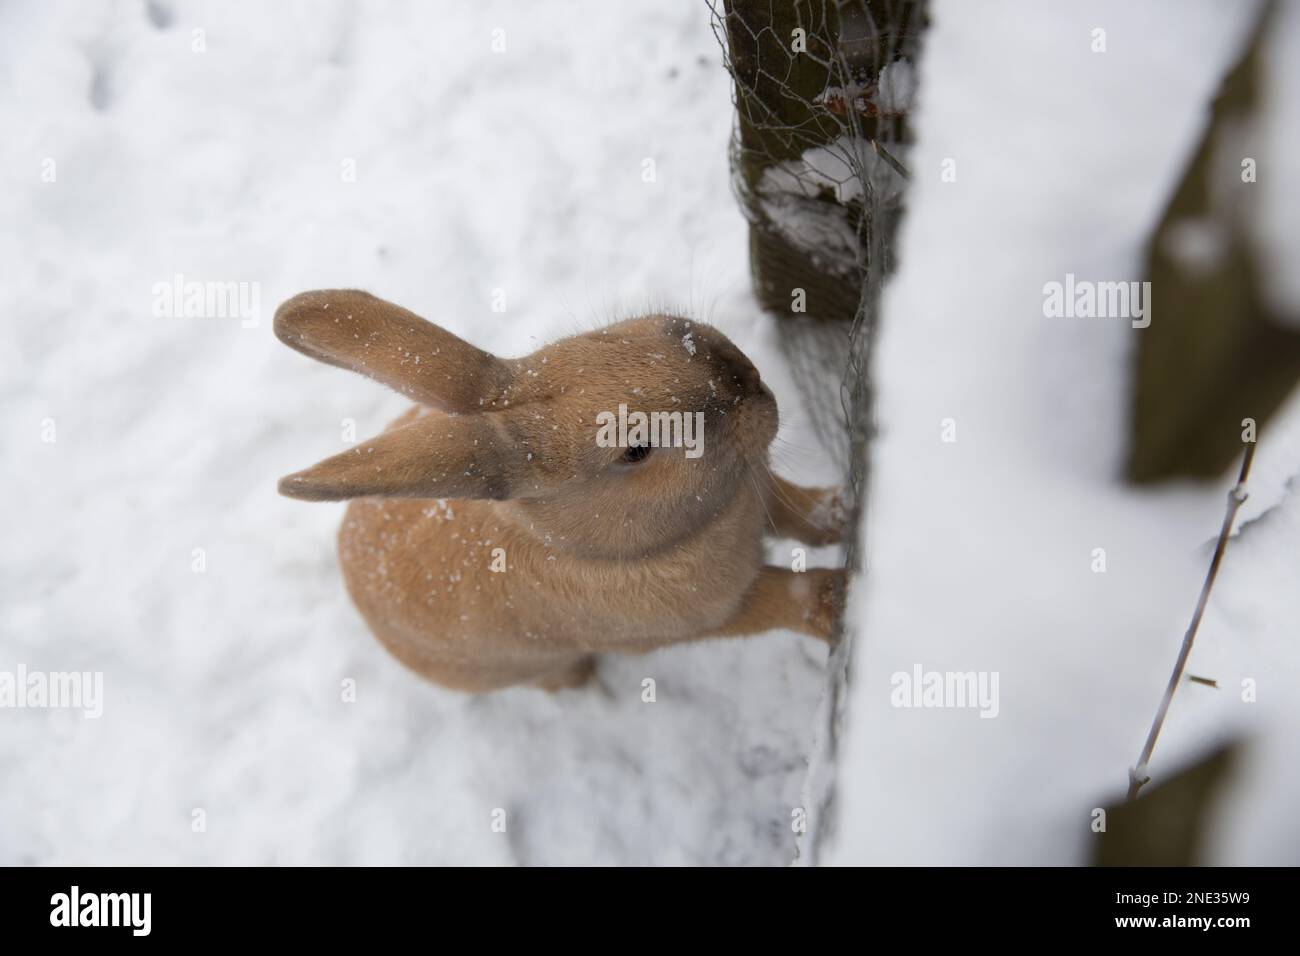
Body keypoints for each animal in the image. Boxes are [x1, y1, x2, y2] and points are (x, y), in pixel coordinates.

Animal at [275, 287, 847, 691]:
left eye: (601, 339)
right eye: (635, 450)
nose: (741, 374)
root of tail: (346, 560)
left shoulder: (763, 493)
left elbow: (803, 512)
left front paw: (842, 511)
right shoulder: (709, 617)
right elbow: (786, 597)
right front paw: (837, 601)